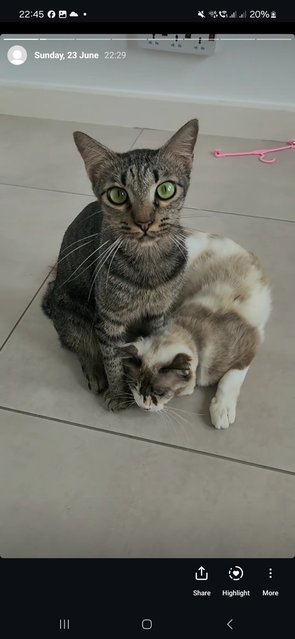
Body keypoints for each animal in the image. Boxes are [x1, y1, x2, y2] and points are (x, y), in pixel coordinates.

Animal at [41, 120, 199, 410]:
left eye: (166, 189)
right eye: (117, 194)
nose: (144, 221)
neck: (148, 264)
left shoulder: (158, 314)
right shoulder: (108, 321)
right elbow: (111, 358)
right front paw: (118, 392)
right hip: (72, 315)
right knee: (80, 347)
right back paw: (94, 372)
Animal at [121, 230, 272, 430]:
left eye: (159, 392)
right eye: (135, 385)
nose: (143, 406)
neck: (193, 336)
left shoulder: (250, 347)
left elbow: (230, 378)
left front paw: (221, 412)